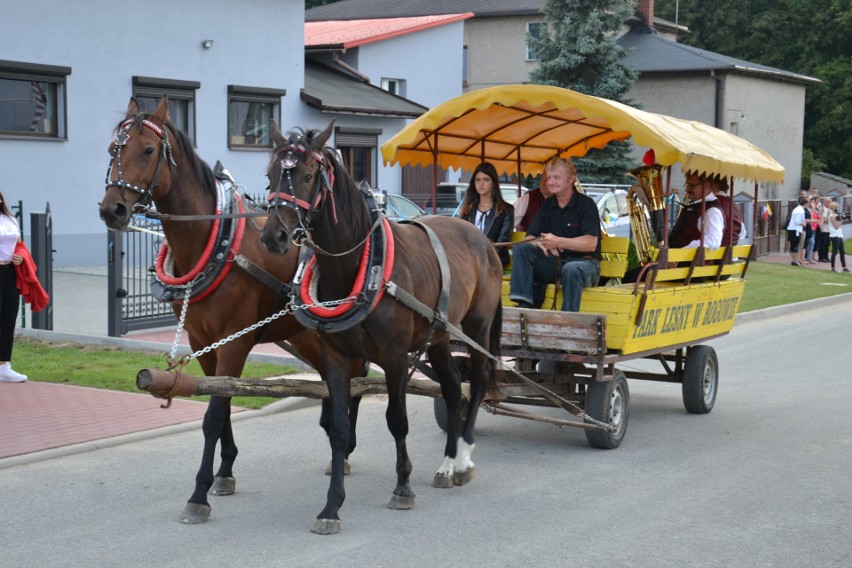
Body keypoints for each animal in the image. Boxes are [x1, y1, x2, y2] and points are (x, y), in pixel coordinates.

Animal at [100, 100, 366, 524]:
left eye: (148, 150)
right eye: (114, 149)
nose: (113, 209)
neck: (216, 242)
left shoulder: (235, 342)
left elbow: (214, 414)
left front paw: (199, 495)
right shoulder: (203, 341)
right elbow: (220, 401)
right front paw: (224, 473)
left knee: (356, 379)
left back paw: (346, 452)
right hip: (308, 336)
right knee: (339, 380)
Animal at [256, 122, 502, 536]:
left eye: (307, 176)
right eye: (270, 176)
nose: (273, 237)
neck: (358, 265)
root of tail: (480, 236)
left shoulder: (395, 357)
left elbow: (397, 421)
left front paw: (402, 487)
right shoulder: (337, 357)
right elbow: (339, 428)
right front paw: (331, 506)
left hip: (477, 326)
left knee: (479, 380)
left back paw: (464, 457)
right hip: (439, 335)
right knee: (453, 390)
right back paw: (447, 463)